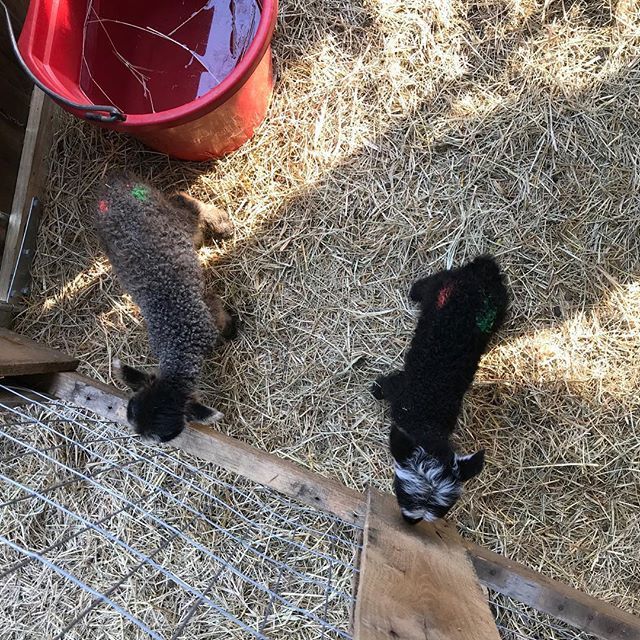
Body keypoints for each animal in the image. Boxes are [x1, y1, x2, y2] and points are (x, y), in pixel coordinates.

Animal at [94, 174, 236, 442]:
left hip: (172, 219)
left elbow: (222, 320)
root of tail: (113, 185)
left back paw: (222, 224)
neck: (179, 341)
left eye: (164, 437)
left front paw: (234, 331)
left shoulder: (209, 310)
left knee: (187, 205)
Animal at [371, 255, 509, 524]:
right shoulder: (400, 388)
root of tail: (482, 272)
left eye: (444, 507)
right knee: (430, 282)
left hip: (498, 306)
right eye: (403, 492)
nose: (411, 521)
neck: (426, 418)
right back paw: (415, 291)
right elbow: (386, 387)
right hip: (442, 284)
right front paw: (375, 389)